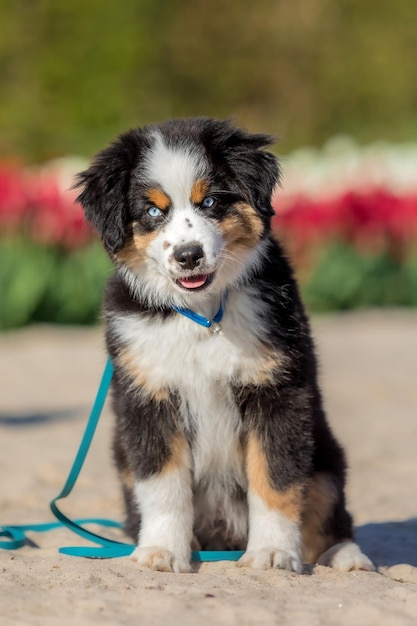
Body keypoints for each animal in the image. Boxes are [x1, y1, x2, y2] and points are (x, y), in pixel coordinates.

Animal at [75, 116, 374, 572]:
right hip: (123, 458)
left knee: (328, 512)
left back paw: (347, 556)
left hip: (324, 458)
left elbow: (275, 480)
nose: (188, 255)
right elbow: (163, 487)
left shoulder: (278, 393)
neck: (202, 316)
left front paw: (271, 552)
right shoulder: (148, 396)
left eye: (212, 202)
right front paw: (162, 550)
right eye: (152, 211)